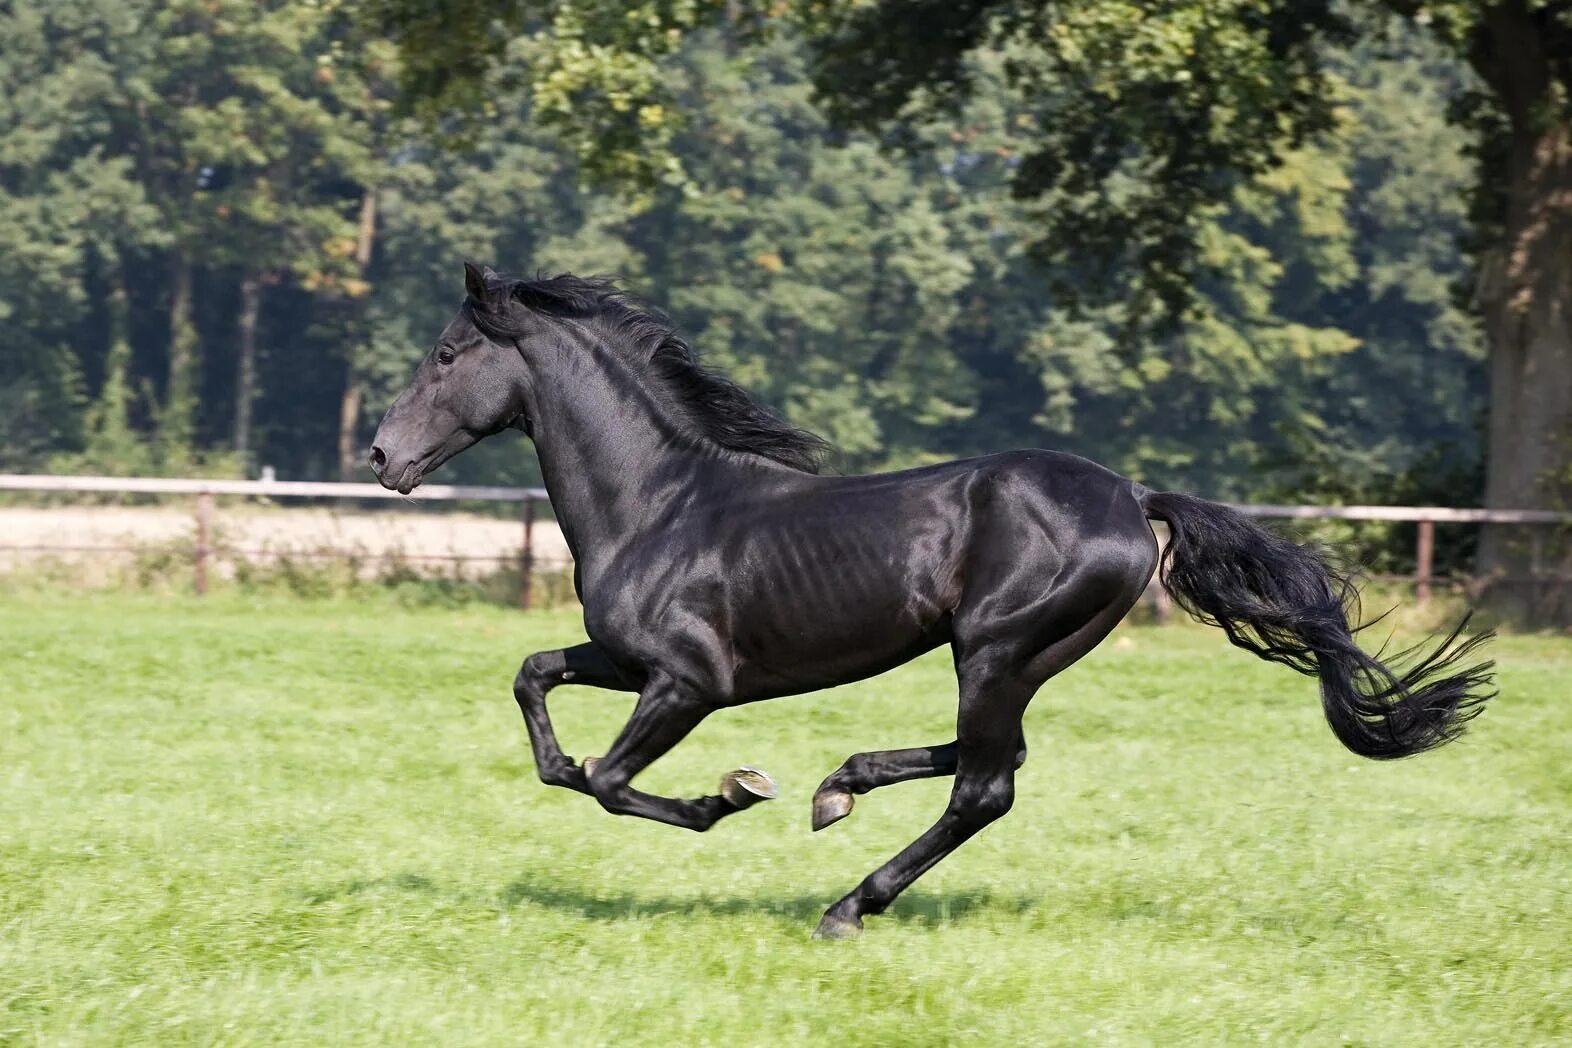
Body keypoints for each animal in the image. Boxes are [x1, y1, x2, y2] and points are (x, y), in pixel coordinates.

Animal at [367, 263, 1496, 942]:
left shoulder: (691, 682)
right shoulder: (624, 660)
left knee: (986, 785)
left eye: (447, 356)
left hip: (998, 649)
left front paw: (730, 794)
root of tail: (1133, 496)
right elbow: (538, 694)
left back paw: (846, 901)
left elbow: (607, 779)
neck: (661, 503)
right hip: (1008, 656)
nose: (380, 457)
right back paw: (839, 787)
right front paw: (753, 789)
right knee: (990, 760)